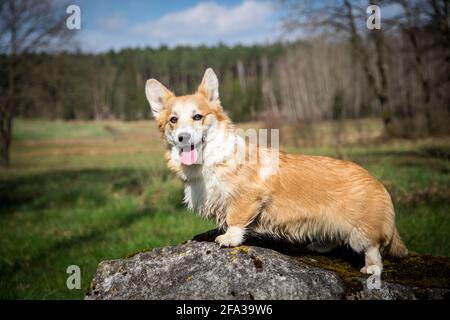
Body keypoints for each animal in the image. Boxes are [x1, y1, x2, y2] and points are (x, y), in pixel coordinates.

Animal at [145, 67, 408, 276]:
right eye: (173, 120)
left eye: (198, 117)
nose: (183, 137)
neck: (208, 159)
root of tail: (376, 182)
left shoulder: (247, 198)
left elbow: (235, 219)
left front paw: (229, 239)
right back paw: (320, 246)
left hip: (361, 230)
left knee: (372, 249)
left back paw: (371, 268)